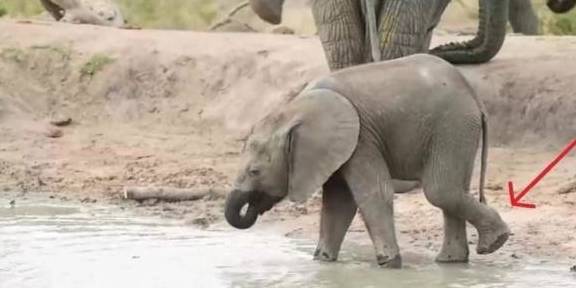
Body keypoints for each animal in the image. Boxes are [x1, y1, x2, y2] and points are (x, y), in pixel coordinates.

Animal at [225, 53, 508, 266]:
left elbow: (374, 193)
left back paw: (494, 243)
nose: (252, 207)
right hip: (457, 127)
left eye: (255, 172)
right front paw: (322, 261)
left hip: (452, 124)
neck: (293, 110)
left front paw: (388, 263)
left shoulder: (361, 137)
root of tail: (473, 94)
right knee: (452, 190)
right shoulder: (338, 148)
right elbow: (338, 203)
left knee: (441, 190)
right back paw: (454, 260)